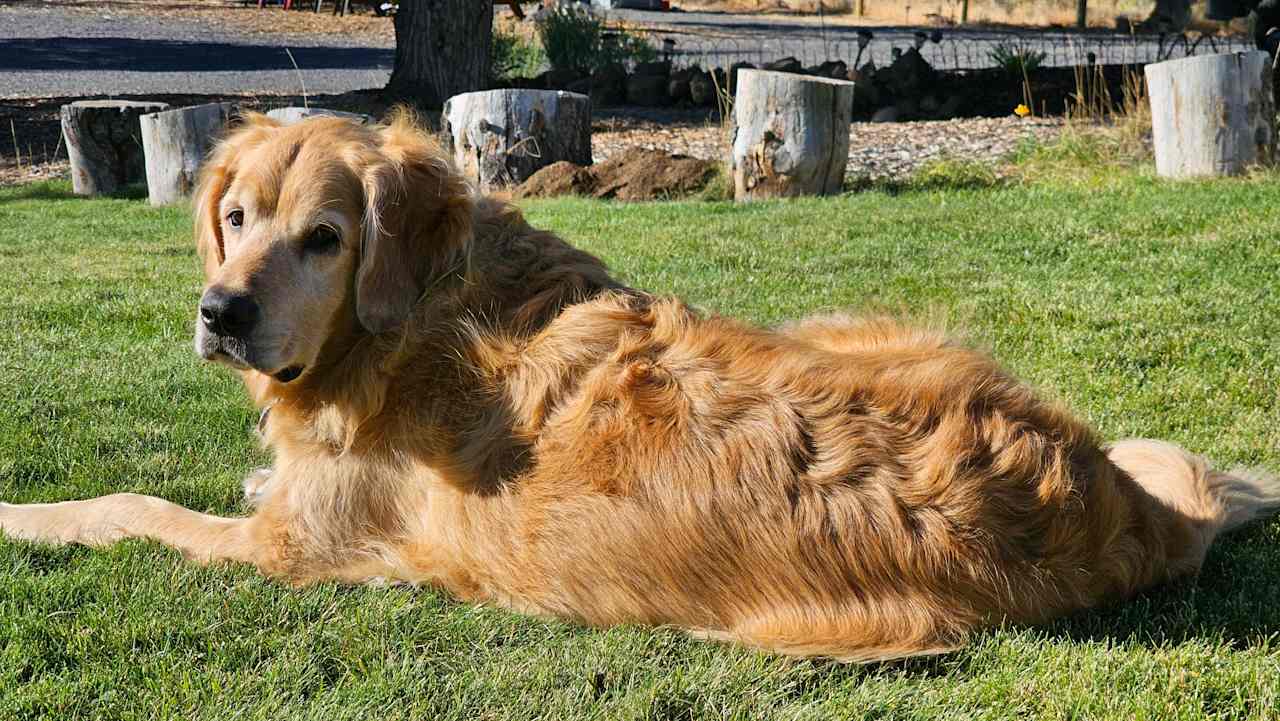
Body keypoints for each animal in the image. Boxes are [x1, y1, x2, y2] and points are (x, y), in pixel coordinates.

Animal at [2, 111, 1280, 660]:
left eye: (323, 238)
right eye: (233, 217)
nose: (220, 312)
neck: (415, 316)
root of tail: (1112, 504)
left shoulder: (292, 551)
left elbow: (127, 506)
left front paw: (25, 515)